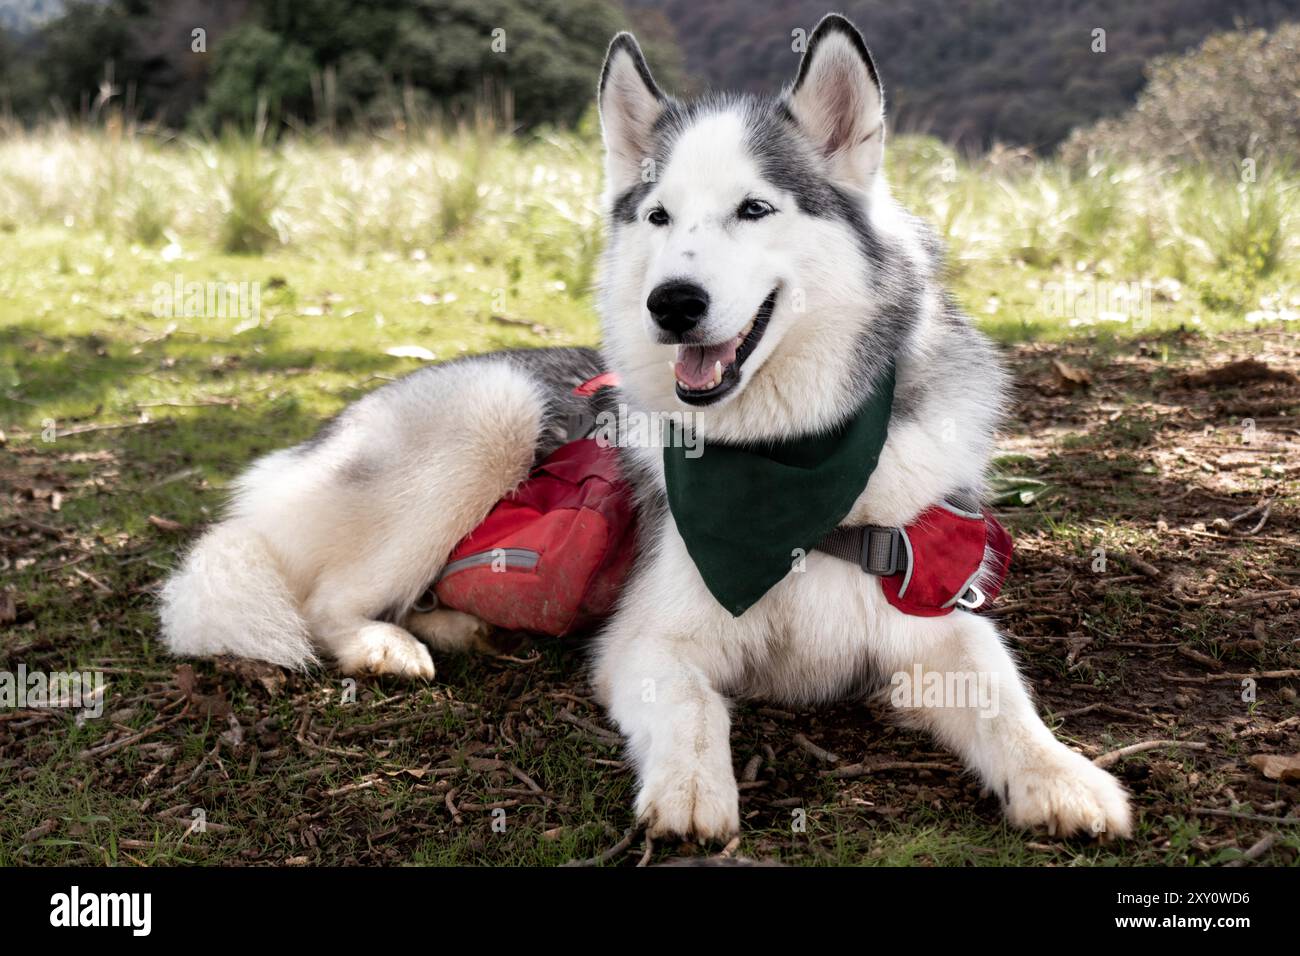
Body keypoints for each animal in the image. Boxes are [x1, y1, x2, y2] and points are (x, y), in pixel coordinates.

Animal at [162, 13, 1133, 837]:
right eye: (660, 215)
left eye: (754, 209)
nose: (672, 303)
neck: (785, 463)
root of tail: (312, 444)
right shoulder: (652, 637)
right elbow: (695, 709)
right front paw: (692, 792)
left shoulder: (932, 611)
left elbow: (1008, 701)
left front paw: (1065, 777)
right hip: (492, 411)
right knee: (325, 603)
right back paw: (385, 644)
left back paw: (460, 623)